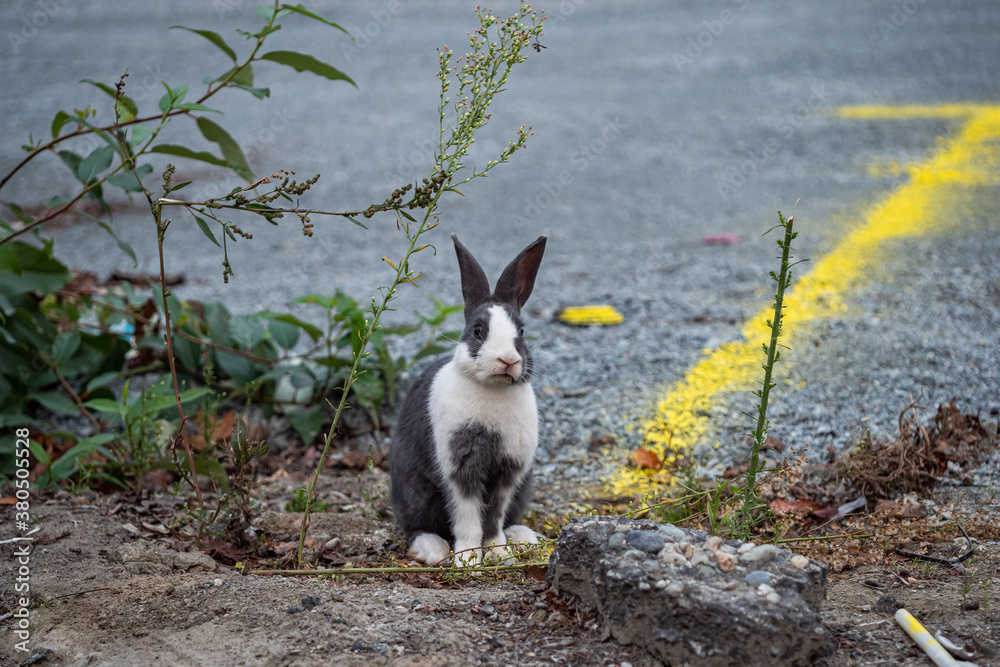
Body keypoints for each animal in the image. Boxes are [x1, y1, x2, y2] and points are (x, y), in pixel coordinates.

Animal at [390, 233, 547, 567]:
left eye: (521, 332)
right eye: (477, 331)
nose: (508, 360)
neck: (492, 388)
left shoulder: (508, 473)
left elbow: (494, 516)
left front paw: (499, 553)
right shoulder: (461, 470)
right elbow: (467, 517)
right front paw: (468, 560)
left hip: (524, 489)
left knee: (509, 518)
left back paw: (523, 537)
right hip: (413, 493)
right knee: (414, 527)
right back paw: (433, 550)